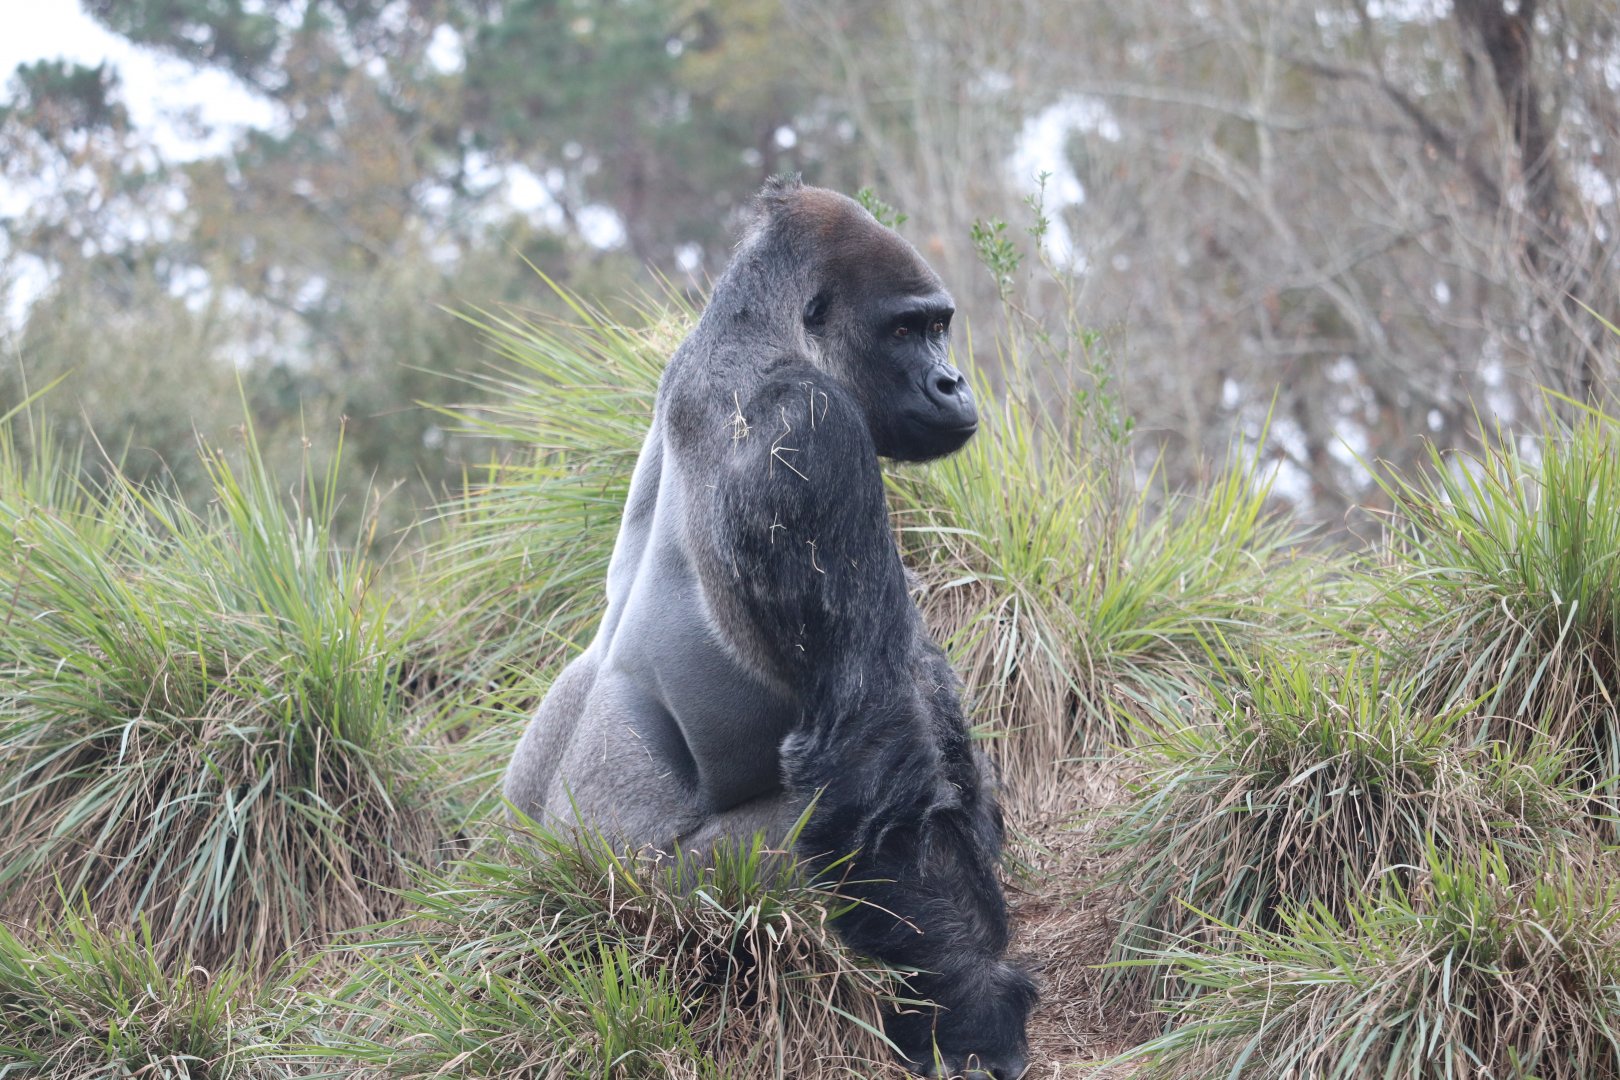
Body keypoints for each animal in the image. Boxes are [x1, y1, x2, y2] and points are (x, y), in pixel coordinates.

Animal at [504, 176, 1035, 1078]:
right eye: (906, 329)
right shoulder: (811, 434)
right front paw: (974, 1010)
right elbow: (873, 745)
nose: (953, 381)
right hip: (679, 911)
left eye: (940, 325)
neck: (751, 334)